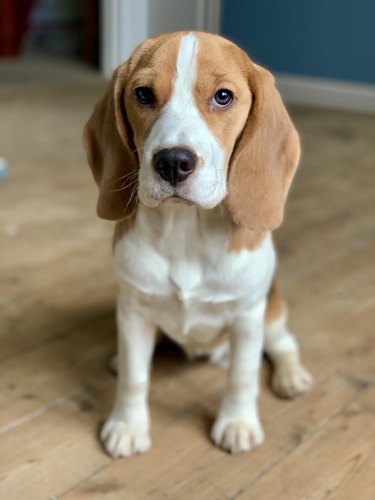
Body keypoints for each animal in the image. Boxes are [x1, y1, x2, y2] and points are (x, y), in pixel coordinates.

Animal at [83, 31, 314, 458]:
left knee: (282, 344)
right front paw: (128, 425)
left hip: (270, 313)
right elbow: (135, 377)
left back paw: (291, 377)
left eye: (223, 97)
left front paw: (237, 423)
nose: (173, 162)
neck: (185, 231)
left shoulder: (247, 317)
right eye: (143, 94)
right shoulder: (135, 311)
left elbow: (243, 376)